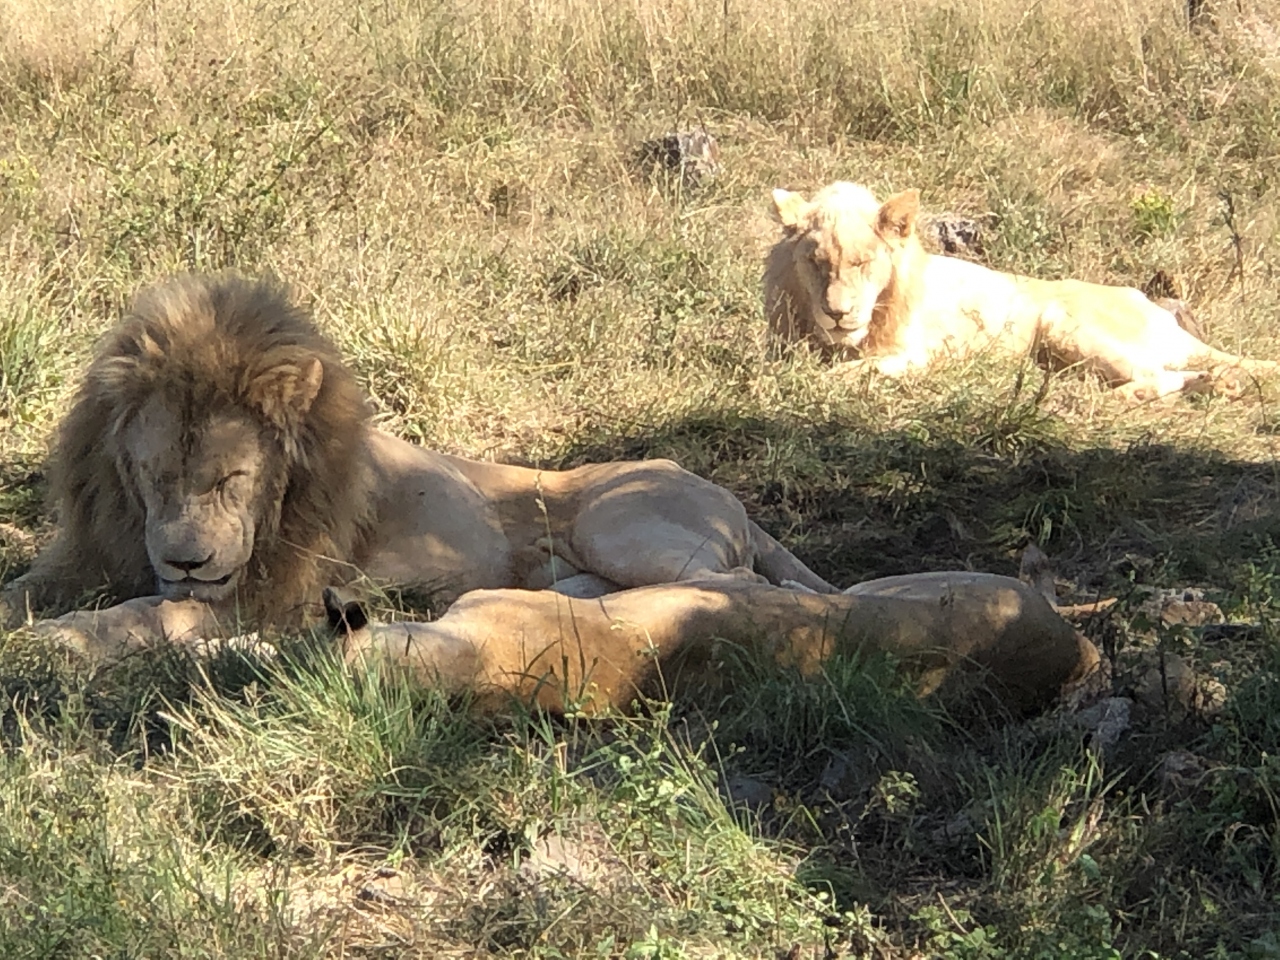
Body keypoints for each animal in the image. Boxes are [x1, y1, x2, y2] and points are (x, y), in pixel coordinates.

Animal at [0, 273, 1100, 716]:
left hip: (627, 526)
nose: (185, 554)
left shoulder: (257, 594)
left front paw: (63, 649)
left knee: (759, 594)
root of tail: (723, 490)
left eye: (230, 477)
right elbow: (34, 591)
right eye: (152, 477)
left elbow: (150, 620)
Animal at [762, 180, 1274, 399]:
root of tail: (1156, 309)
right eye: (816, 263)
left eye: (864, 263)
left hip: (1059, 320)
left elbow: (847, 373)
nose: (837, 313)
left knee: (1159, 375)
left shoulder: (914, 355)